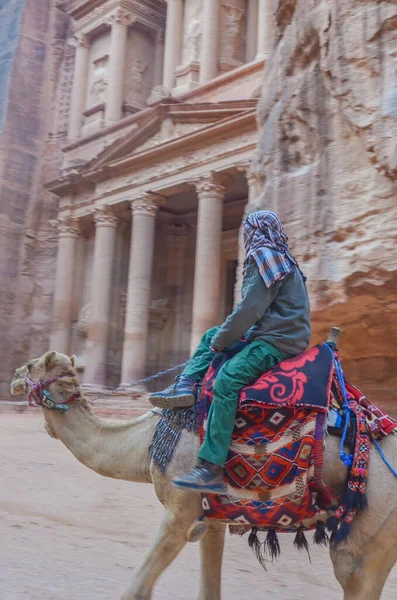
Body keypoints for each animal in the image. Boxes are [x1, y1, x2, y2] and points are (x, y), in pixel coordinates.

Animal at [9, 352, 396, 600]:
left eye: (31, 365)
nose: (12, 377)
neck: (148, 442)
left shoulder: (180, 509)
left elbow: (136, 590)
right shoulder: (212, 517)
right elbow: (209, 587)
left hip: (374, 517)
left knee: (352, 572)